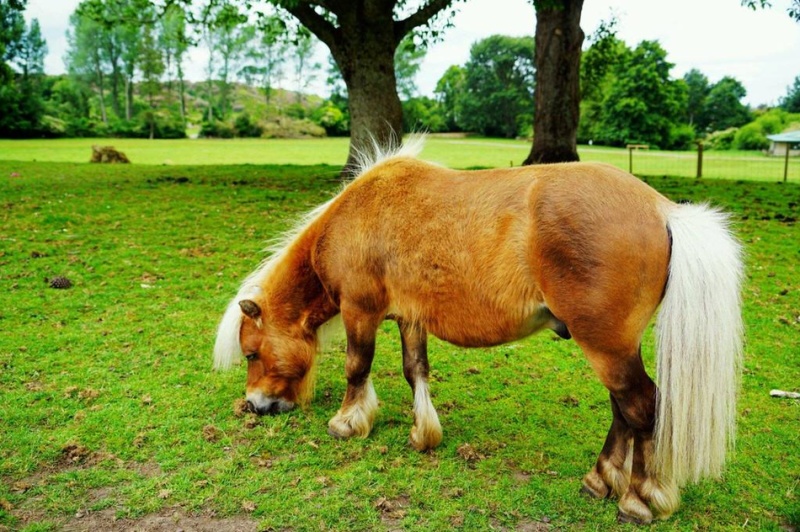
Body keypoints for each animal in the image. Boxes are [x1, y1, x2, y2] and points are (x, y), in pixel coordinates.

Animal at [212, 137, 744, 524]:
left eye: (252, 354)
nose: (255, 406)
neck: (357, 215)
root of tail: (662, 209)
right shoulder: (410, 317)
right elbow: (415, 370)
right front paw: (423, 433)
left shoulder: (361, 311)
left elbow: (356, 366)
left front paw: (347, 423)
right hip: (613, 347)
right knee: (624, 409)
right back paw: (599, 480)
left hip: (606, 345)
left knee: (640, 407)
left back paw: (636, 499)